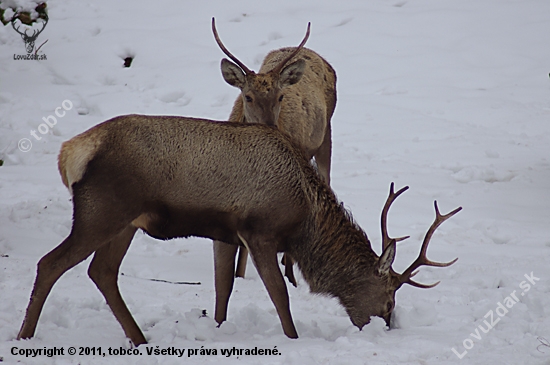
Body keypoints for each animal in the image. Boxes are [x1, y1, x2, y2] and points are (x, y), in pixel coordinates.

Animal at [16, 115, 462, 346]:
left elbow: (223, 287)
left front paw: (217, 329)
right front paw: (292, 339)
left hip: (125, 222)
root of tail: (69, 153)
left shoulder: (224, 233)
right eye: (389, 295)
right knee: (49, 263)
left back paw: (140, 340)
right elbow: (279, 294)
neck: (305, 220)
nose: (387, 325)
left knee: (102, 271)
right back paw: (25, 337)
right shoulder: (259, 231)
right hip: (102, 212)